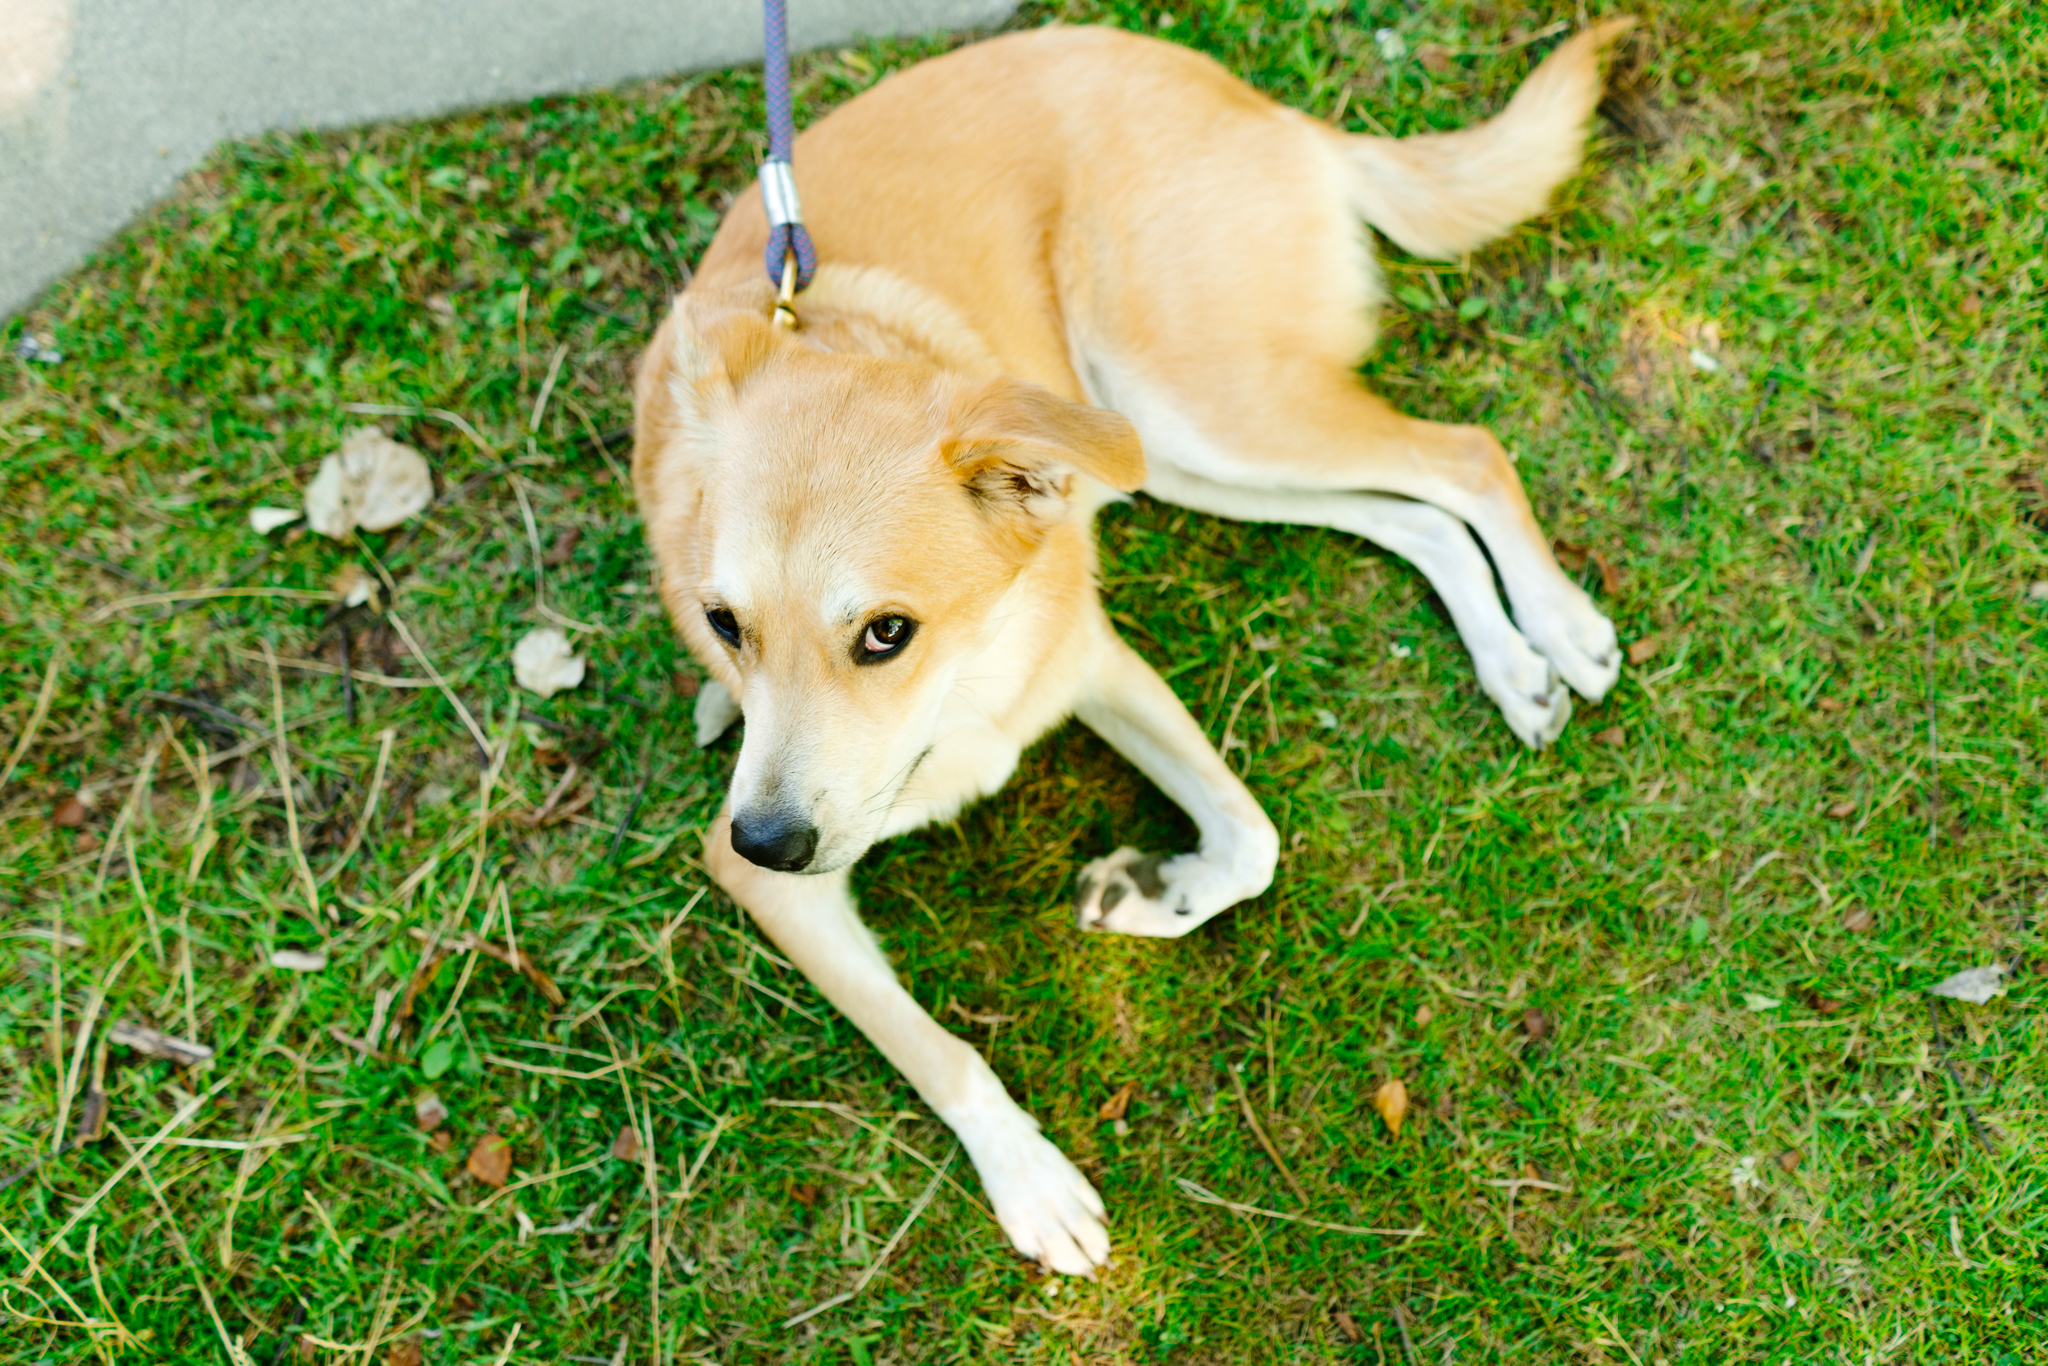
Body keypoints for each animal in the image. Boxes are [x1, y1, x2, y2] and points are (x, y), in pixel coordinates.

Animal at [630, 21, 1622, 1277]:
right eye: (723, 623)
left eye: (885, 632)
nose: (767, 838)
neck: (962, 696)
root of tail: (1238, 95)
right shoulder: (776, 888)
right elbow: (932, 1044)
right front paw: (1028, 1177)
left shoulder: (1095, 664)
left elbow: (1251, 841)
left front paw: (1155, 893)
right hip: (1167, 445)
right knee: (1416, 515)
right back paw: (1511, 661)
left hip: (1191, 400)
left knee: (1465, 454)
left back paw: (1557, 621)